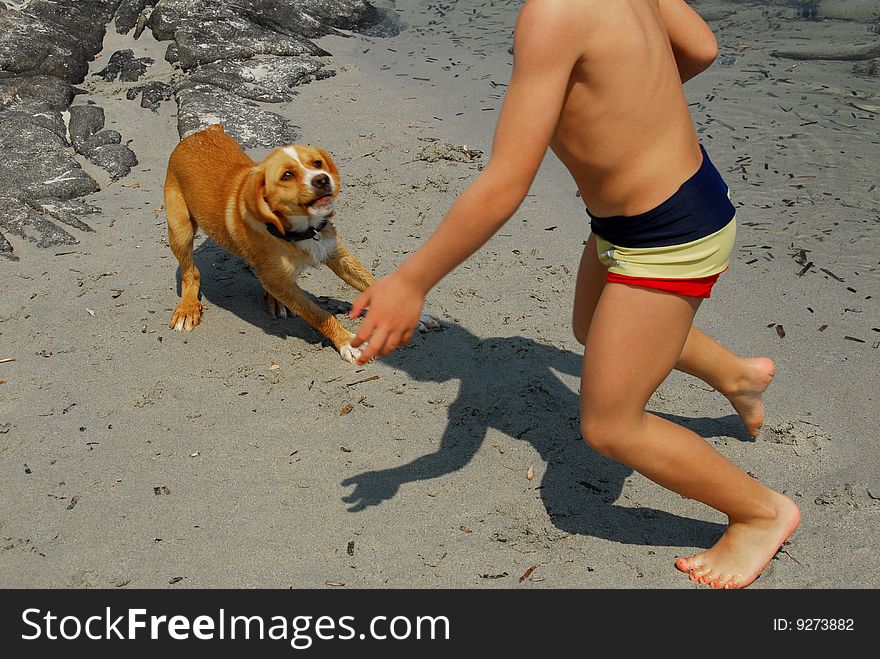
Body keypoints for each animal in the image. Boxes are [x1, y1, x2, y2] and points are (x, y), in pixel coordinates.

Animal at [162, 126, 436, 364]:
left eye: (317, 163)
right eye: (287, 175)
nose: (323, 179)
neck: (302, 231)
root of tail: (202, 132)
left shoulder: (336, 254)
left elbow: (371, 282)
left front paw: (406, 314)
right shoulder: (281, 281)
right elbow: (319, 314)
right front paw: (347, 341)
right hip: (180, 230)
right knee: (191, 272)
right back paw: (188, 308)